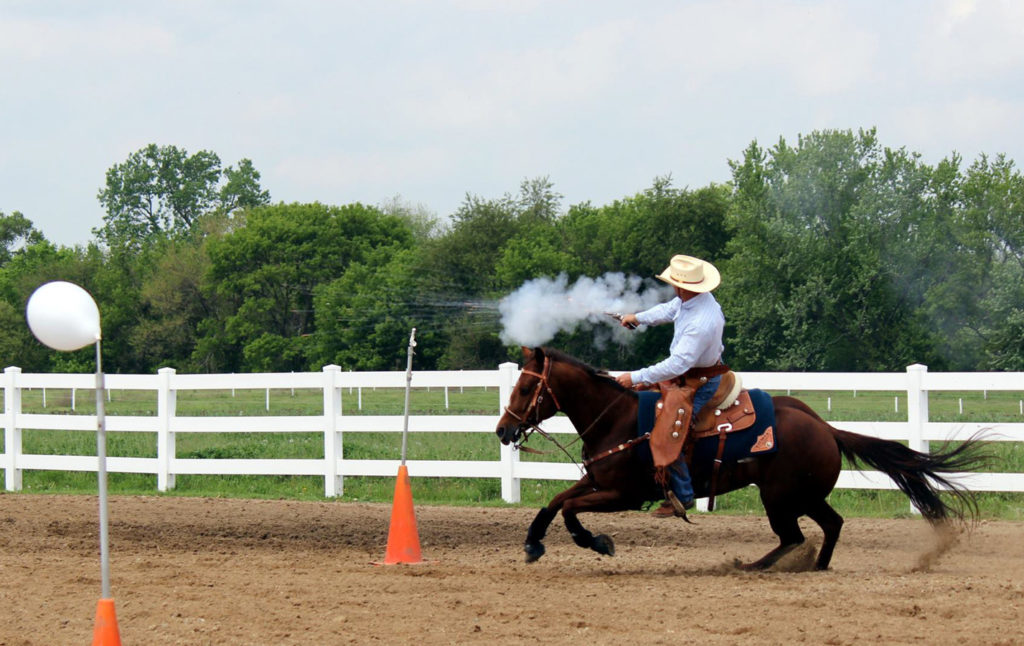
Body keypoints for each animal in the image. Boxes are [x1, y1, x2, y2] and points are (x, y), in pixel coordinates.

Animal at [495, 348, 991, 569]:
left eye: (527, 386)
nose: (503, 430)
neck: (617, 419)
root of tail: (826, 428)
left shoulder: (623, 493)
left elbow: (571, 510)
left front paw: (596, 542)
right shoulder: (597, 481)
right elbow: (554, 502)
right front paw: (533, 543)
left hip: (780, 498)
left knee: (793, 536)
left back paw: (754, 567)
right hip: (804, 495)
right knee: (831, 525)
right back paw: (816, 566)